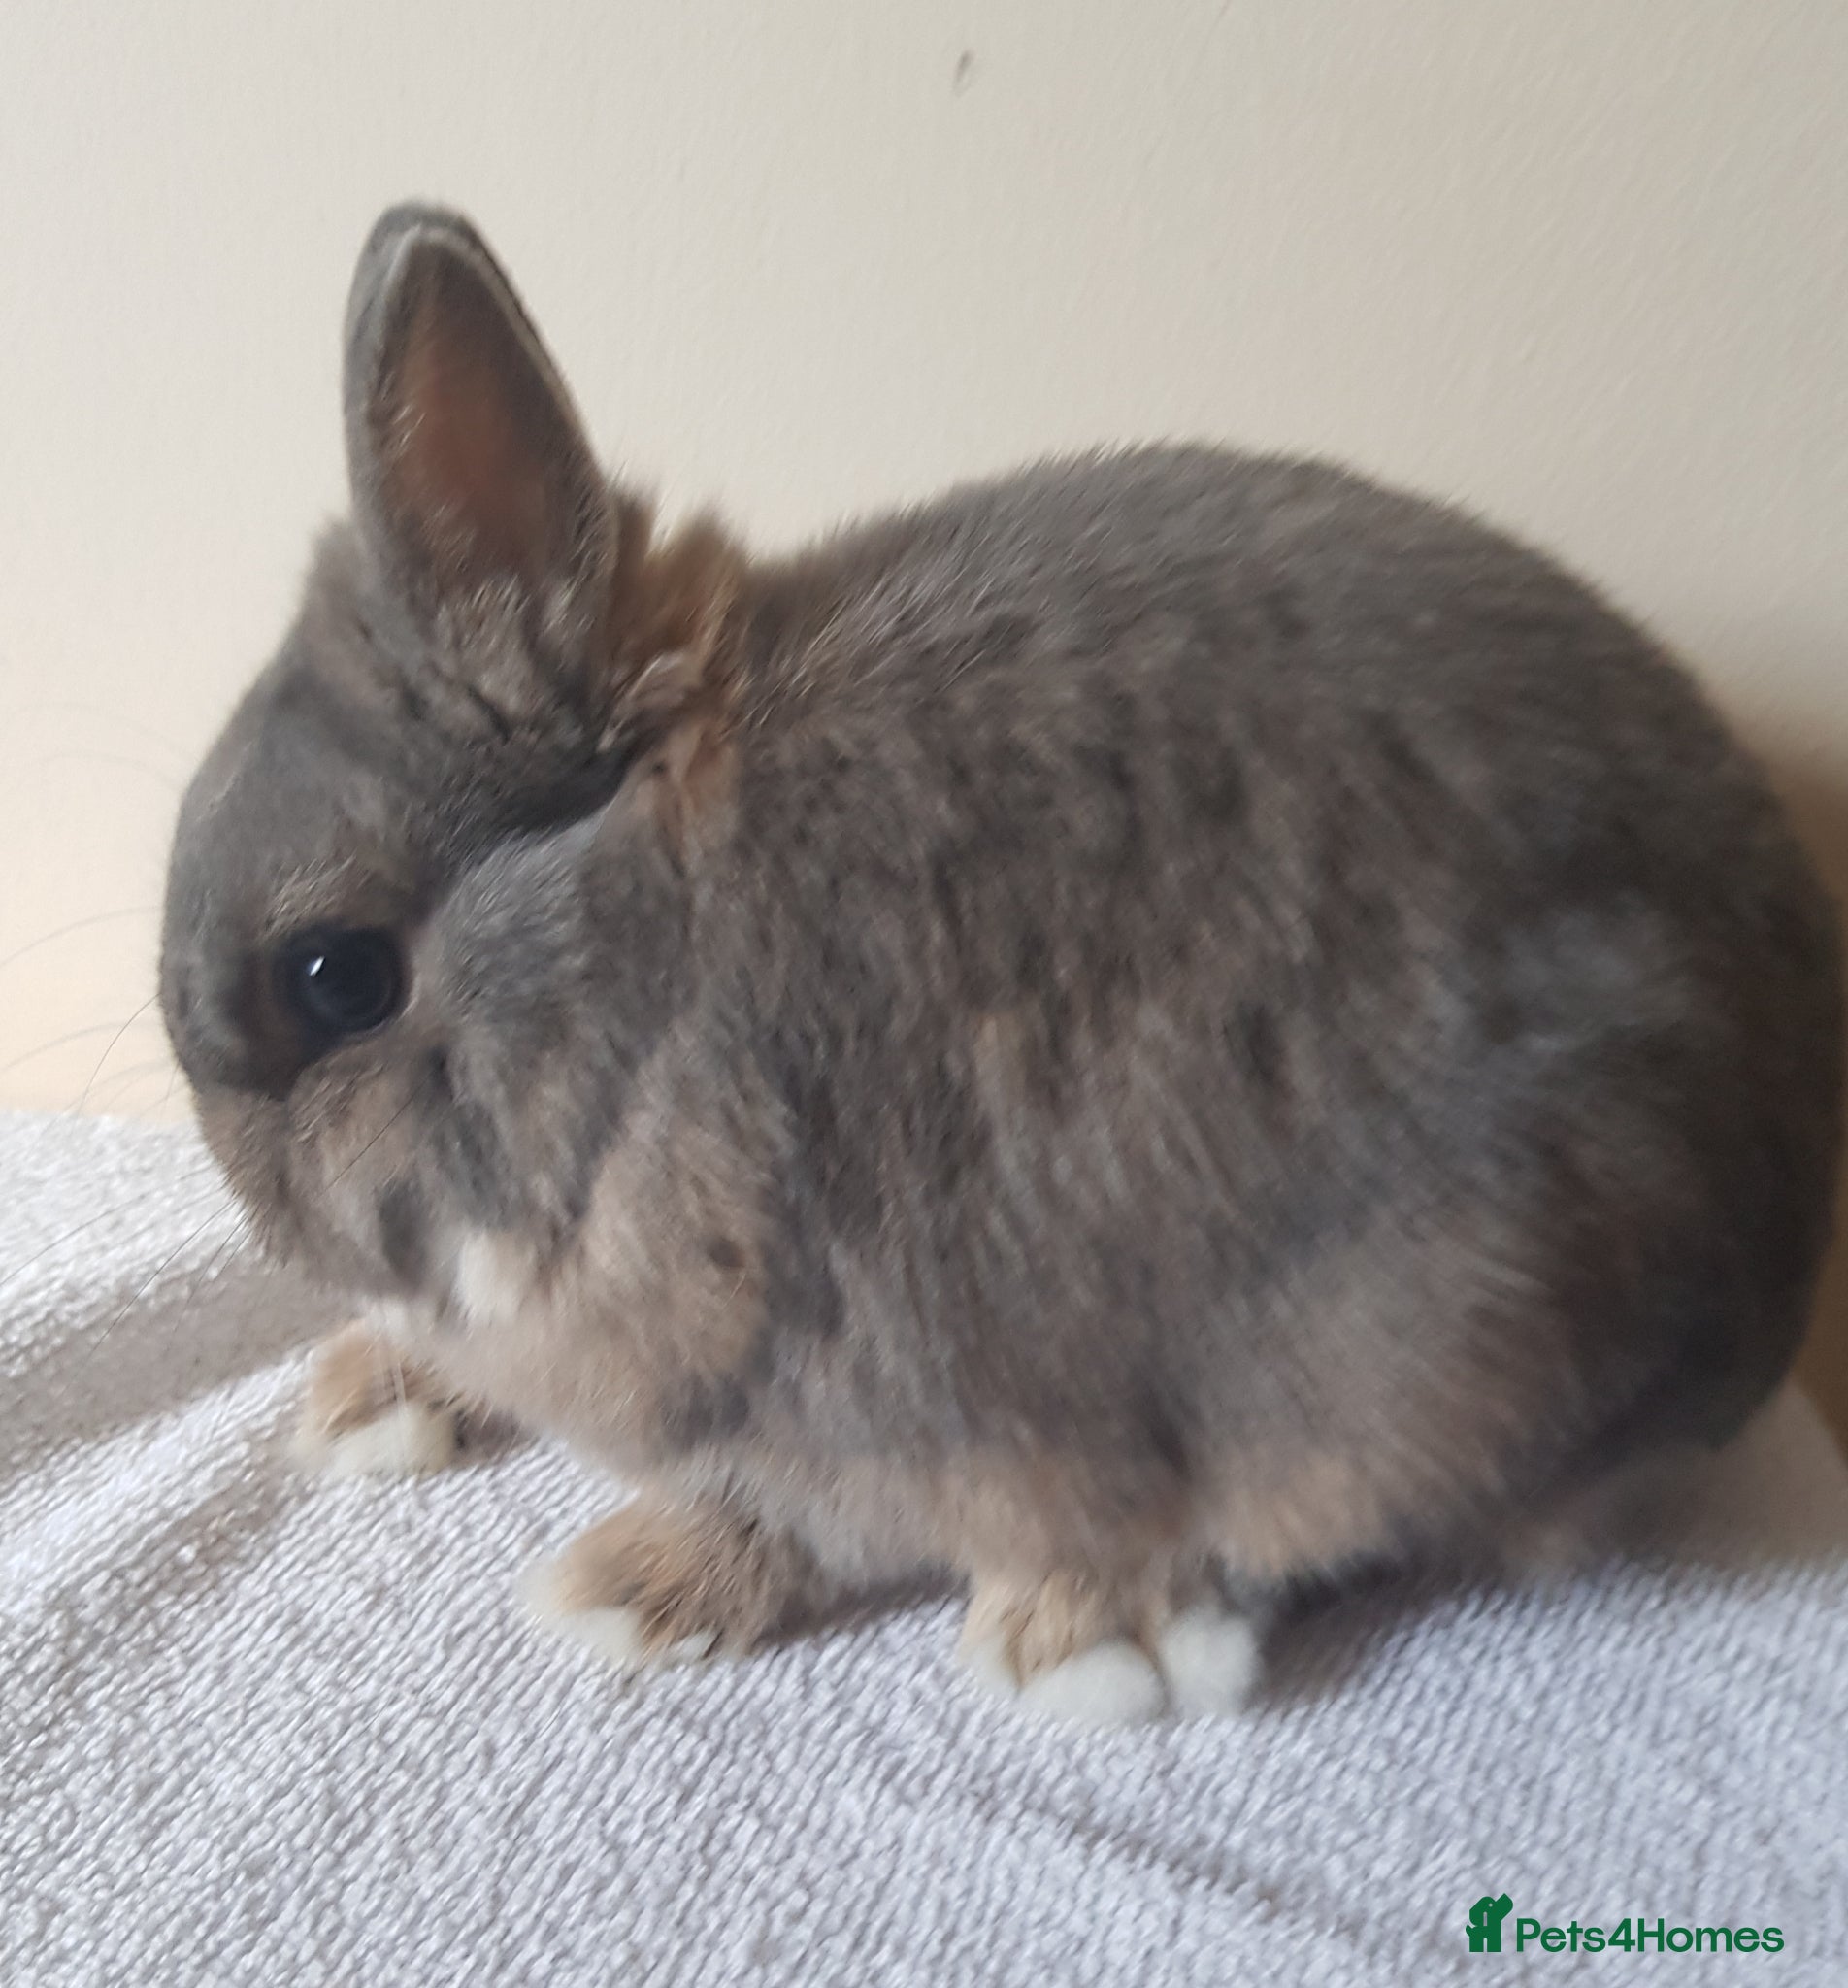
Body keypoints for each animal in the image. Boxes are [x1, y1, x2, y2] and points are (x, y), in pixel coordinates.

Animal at [160, 204, 1842, 1725]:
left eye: (336, 979)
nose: (261, 1211)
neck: (645, 964)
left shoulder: (849, 1389)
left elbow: (802, 1517)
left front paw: (624, 1591)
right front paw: (371, 1395)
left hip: (1475, 1326)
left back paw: (1086, 1637)